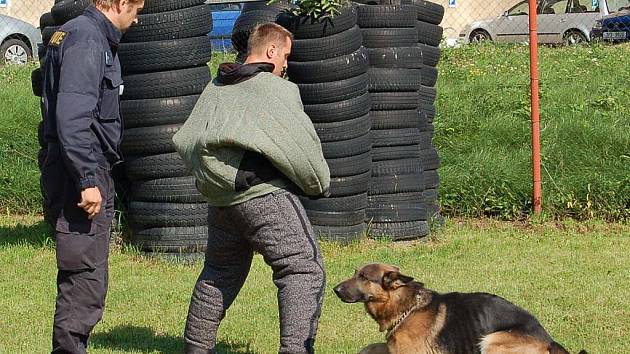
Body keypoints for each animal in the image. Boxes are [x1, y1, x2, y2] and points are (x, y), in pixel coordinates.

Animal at [336, 264, 588, 352]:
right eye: (354, 273)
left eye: (363, 277)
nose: (335, 289)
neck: (407, 308)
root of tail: (549, 340)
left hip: (491, 339)